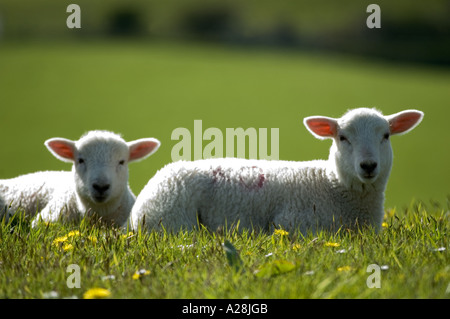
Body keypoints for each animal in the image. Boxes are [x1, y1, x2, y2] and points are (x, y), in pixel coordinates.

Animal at [129, 108, 422, 235]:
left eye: (386, 136)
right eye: (342, 138)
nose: (368, 166)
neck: (331, 185)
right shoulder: (293, 223)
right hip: (173, 220)